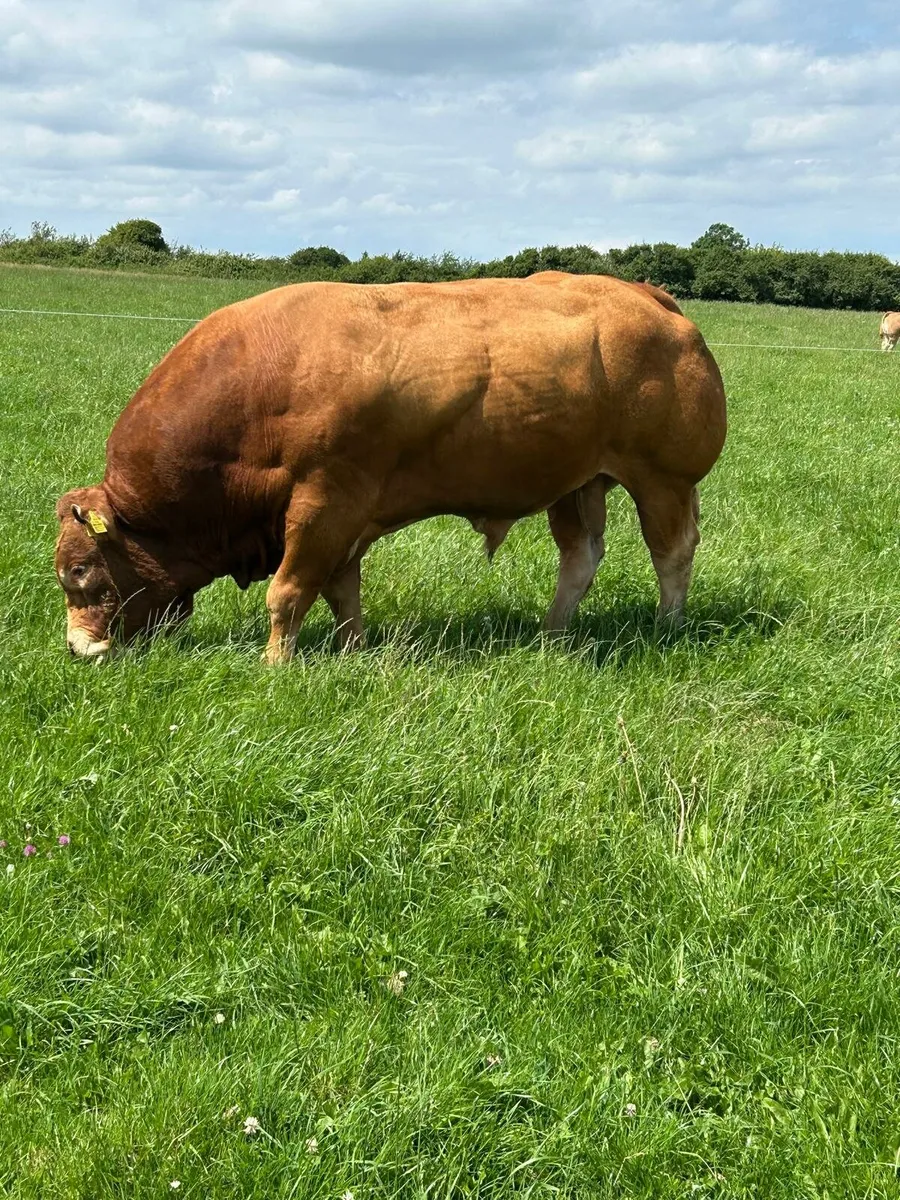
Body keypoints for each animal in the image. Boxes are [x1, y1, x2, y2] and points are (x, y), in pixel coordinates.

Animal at [54, 271, 727, 663]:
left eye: (81, 570)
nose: (80, 647)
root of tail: (647, 296)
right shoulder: (342, 516)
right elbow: (340, 590)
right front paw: (351, 651)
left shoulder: (322, 503)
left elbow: (288, 593)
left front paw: (276, 666)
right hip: (577, 483)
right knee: (580, 557)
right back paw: (552, 637)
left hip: (661, 481)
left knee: (672, 553)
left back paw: (667, 628)